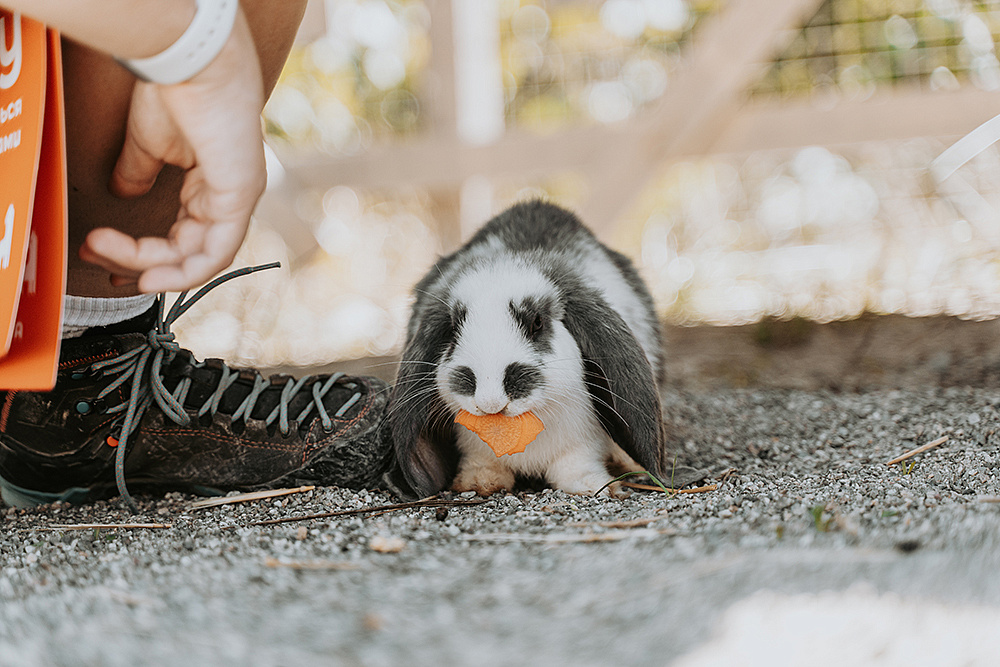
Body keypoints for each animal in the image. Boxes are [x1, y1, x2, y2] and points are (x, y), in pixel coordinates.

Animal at [388, 201, 664, 498]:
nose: (490, 402)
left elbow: (576, 464)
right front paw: (480, 481)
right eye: (453, 326)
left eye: (537, 322)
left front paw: (593, 485)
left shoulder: (582, 443)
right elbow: (480, 461)